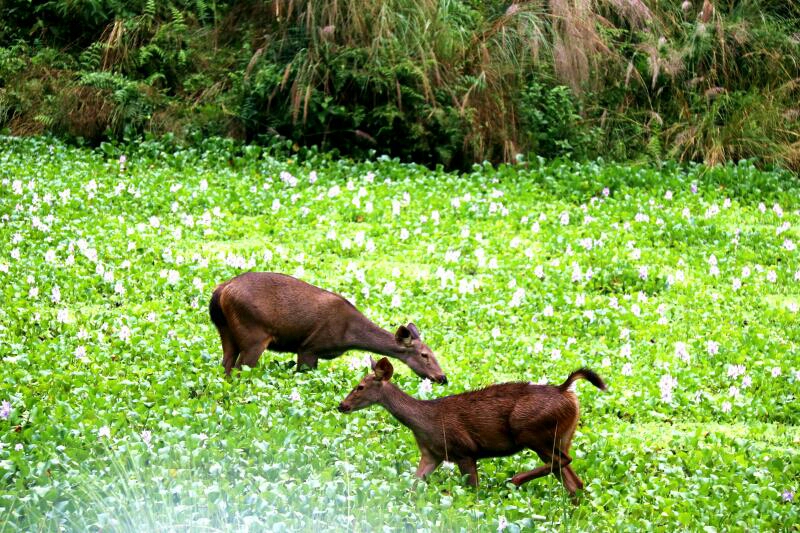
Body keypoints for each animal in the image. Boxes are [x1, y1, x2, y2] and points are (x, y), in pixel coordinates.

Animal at [206, 272, 446, 380]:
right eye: (424, 355)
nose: (442, 378)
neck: (348, 335)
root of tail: (220, 291)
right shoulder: (309, 347)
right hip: (253, 334)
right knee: (239, 369)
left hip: (226, 331)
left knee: (225, 365)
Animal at [338, 358, 608, 498]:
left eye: (360, 386)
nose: (342, 405)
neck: (424, 421)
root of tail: (566, 391)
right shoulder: (432, 455)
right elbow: (413, 485)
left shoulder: (464, 451)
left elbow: (473, 492)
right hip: (562, 435)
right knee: (575, 481)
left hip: (531, 431)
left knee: (563, 462)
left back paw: (516, 479)